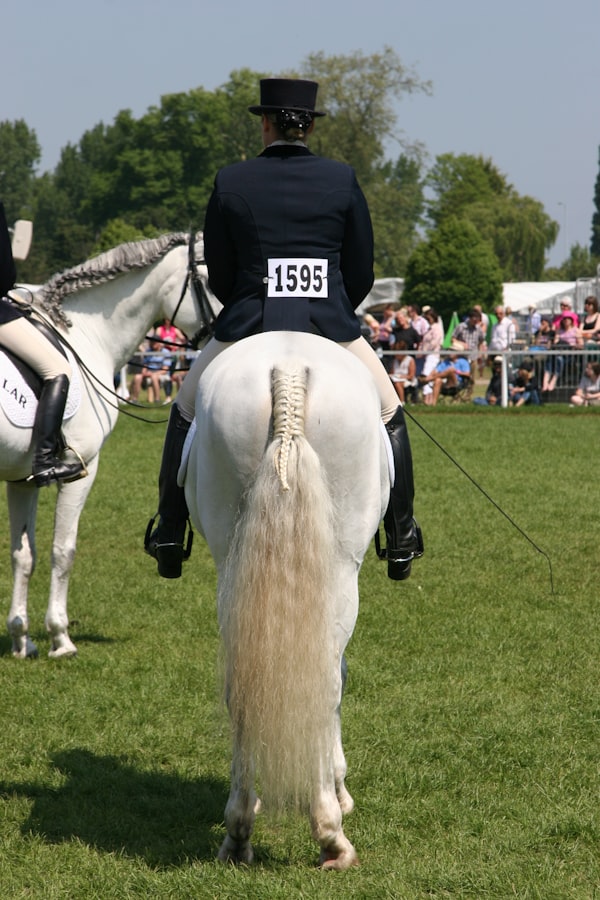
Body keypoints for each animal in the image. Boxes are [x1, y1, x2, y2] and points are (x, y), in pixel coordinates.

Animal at [0, 232, 213, 659]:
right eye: (214, 281)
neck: (84, 333)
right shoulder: (82, 469)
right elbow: (62, 551)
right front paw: (61, 638)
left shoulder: (22, 480)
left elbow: (24, 555)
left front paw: (21, 638)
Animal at [182, 331, 390, 869]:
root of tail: (288, 368)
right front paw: (339, 789)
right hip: (341, 571)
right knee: (326, 682)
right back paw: (332, 834)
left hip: (231, 562)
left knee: (242, 683)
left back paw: (239, 832)